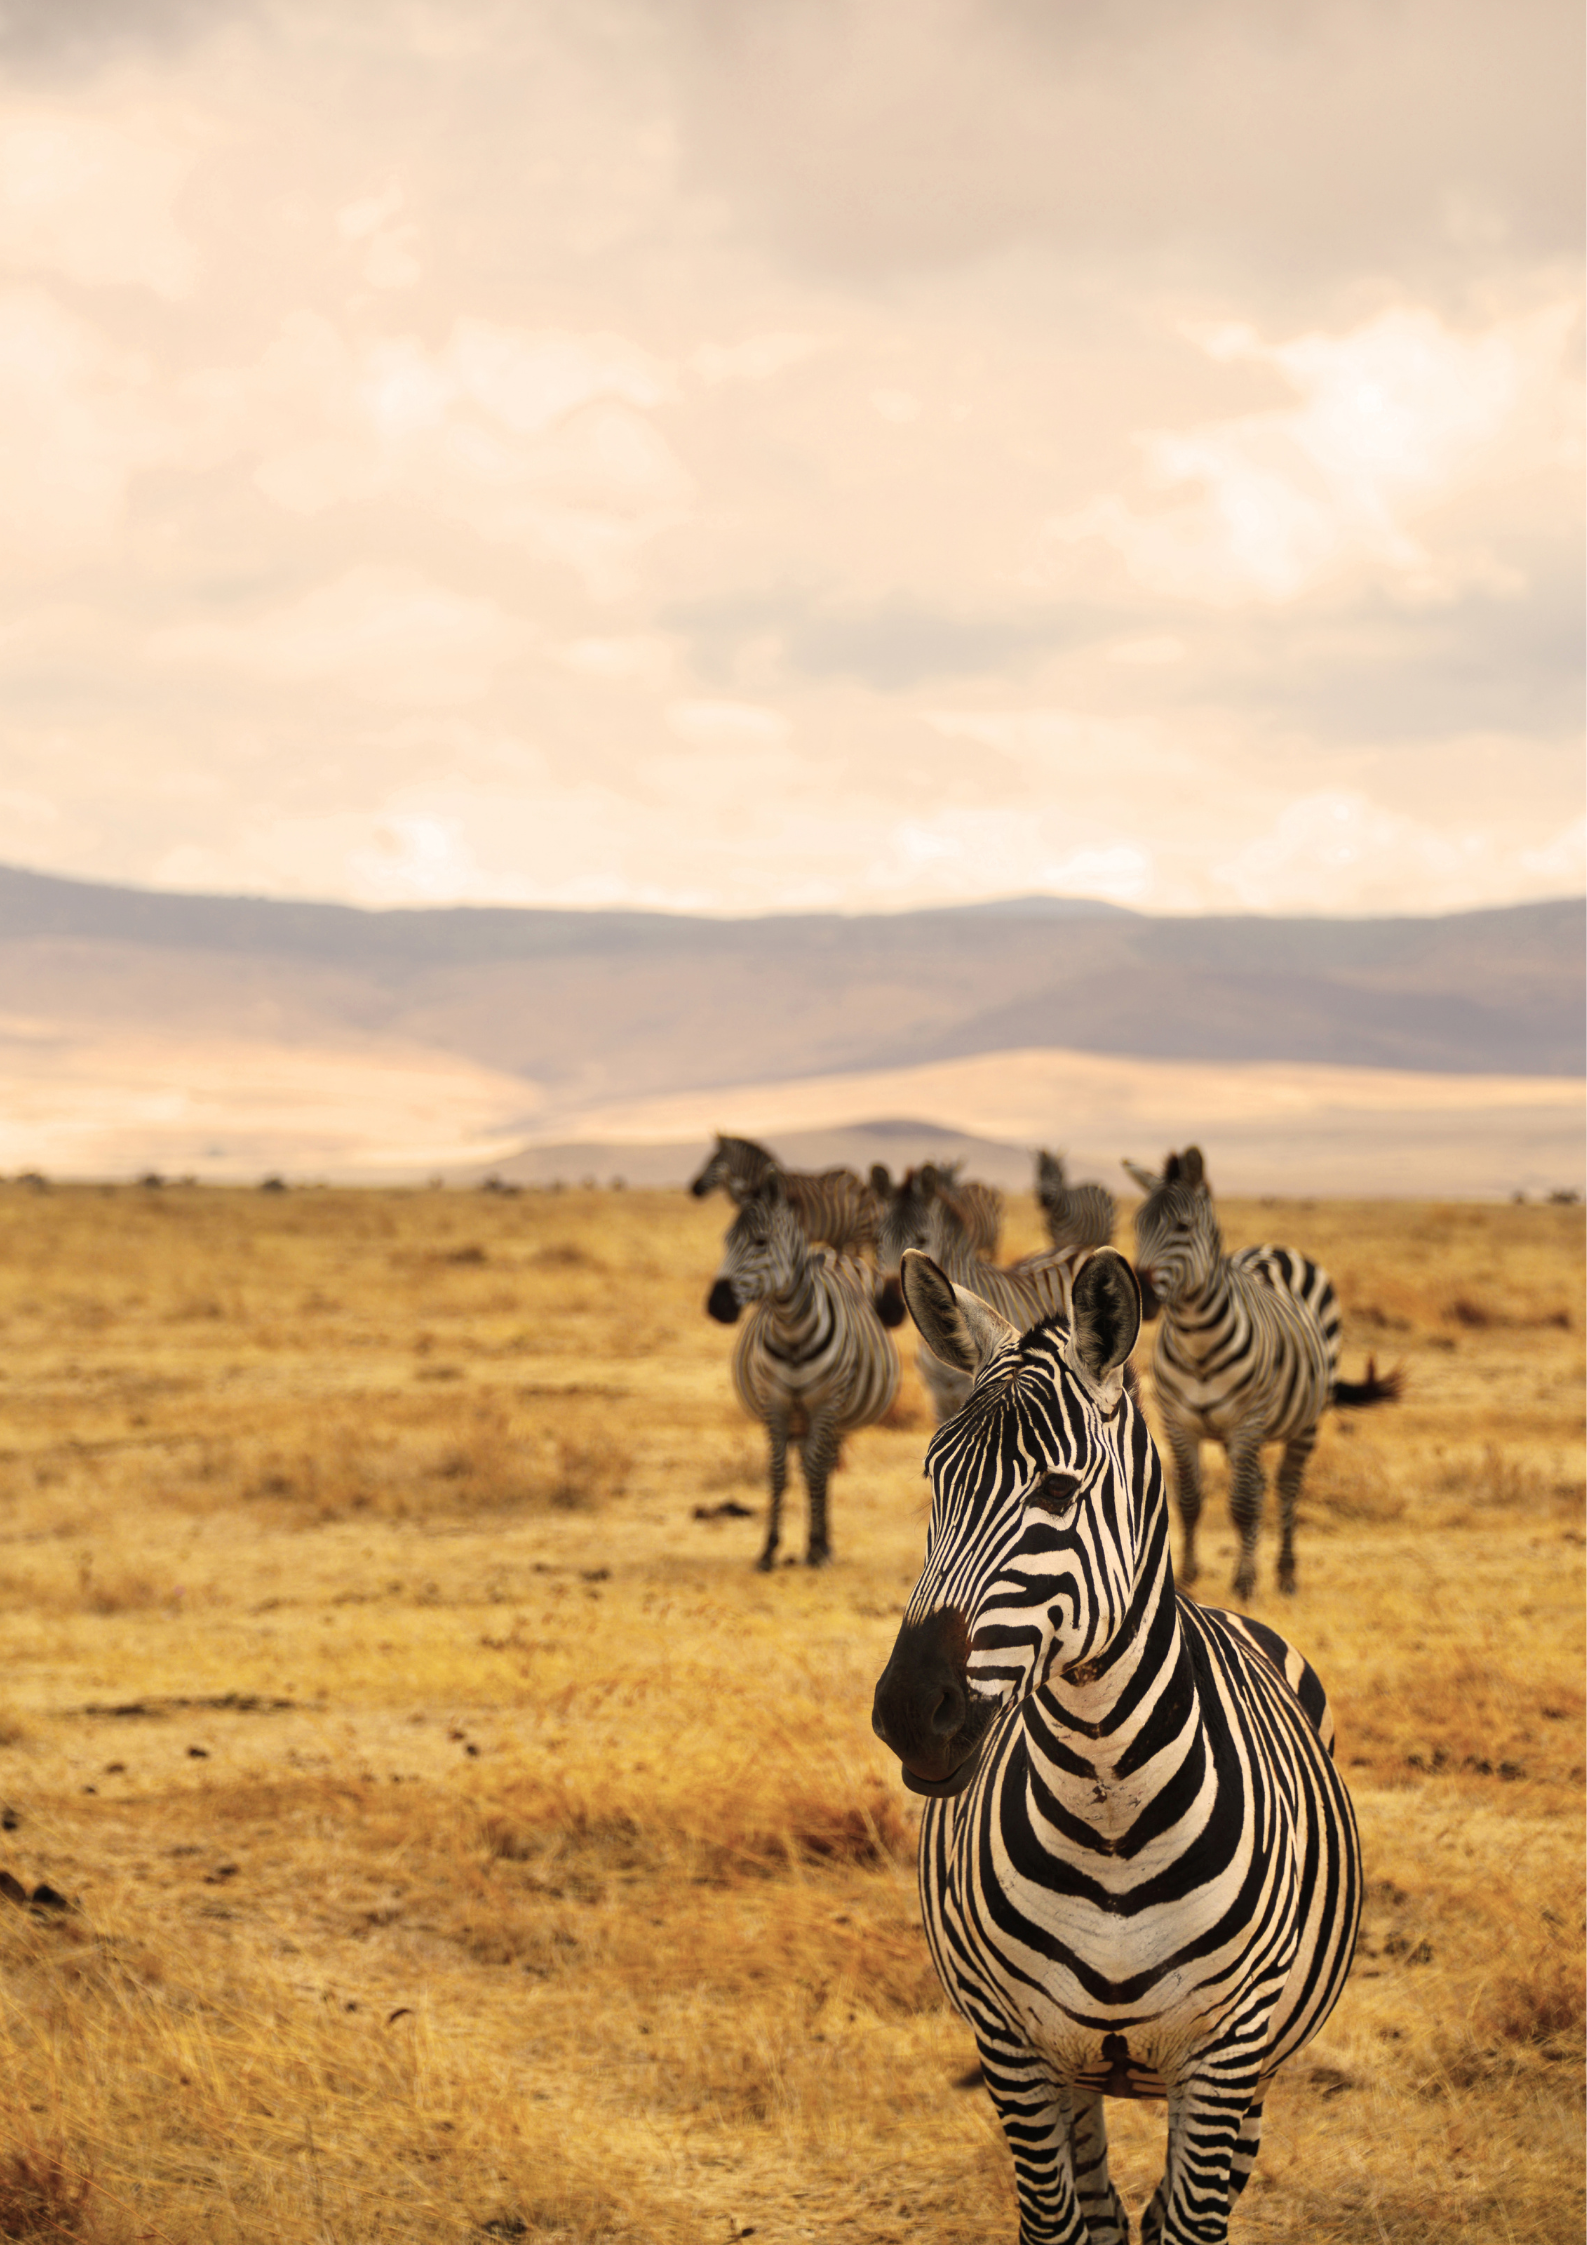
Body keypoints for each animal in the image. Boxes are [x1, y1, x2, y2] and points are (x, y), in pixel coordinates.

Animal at [705, 1170, 898, 1568]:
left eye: (760, 1242)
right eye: (726, 1241)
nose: (716, 1305)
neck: (791, 1328)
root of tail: (834, 1253)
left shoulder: (826, 1402)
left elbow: (816, 1469)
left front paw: (814, 1545)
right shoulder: (775, 1400)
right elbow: (777, 1472)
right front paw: (769, 1548)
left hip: (836, 1409)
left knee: (821, 1465)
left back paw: (823, 1544)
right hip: (801, 1415)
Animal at [871, 1247, 1361, 2245]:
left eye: (1057, 1491)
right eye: (933, 1477)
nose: (907, 1710)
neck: (1108, 1808)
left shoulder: (1225, 2054)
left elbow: (1188, 2220)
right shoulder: (1014, 2047)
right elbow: (1057, 2222)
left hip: (1254, 2070)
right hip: (1075, 2073)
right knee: (1103, 2207)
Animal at [1128, 1147, 1400, 1599]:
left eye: (1183, 1226)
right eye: (1136, 1225)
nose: (1143, 1296)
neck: (1196, 1342)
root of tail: (1277, 1247)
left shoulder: (1247, 1420)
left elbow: (1241, 1504)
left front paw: (1244, 1581)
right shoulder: (1178, 1422)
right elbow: (1189, 1500)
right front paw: (1187, 1575)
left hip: (1304, 1419)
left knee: (1286, 1487)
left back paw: (1286, 1573)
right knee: (1257, 1483)